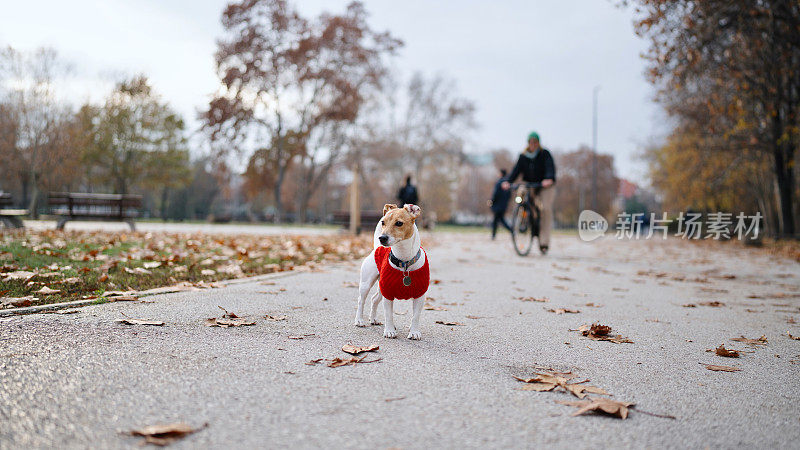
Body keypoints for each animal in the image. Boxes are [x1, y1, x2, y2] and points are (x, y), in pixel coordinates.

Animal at [354, 203, 428, 338]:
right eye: (383, 222)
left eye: (399, 223)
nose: (382, 238)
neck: (404, 262)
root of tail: (377, 248)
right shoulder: (388, 294)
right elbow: (388, 314)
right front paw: (389, 330)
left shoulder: (420, 296)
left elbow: (415, 316)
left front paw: (414, 332)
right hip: (366, 284)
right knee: (361, 301)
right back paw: (359, 320)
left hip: (381, 288)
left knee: (374, 299)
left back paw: (373, 319)